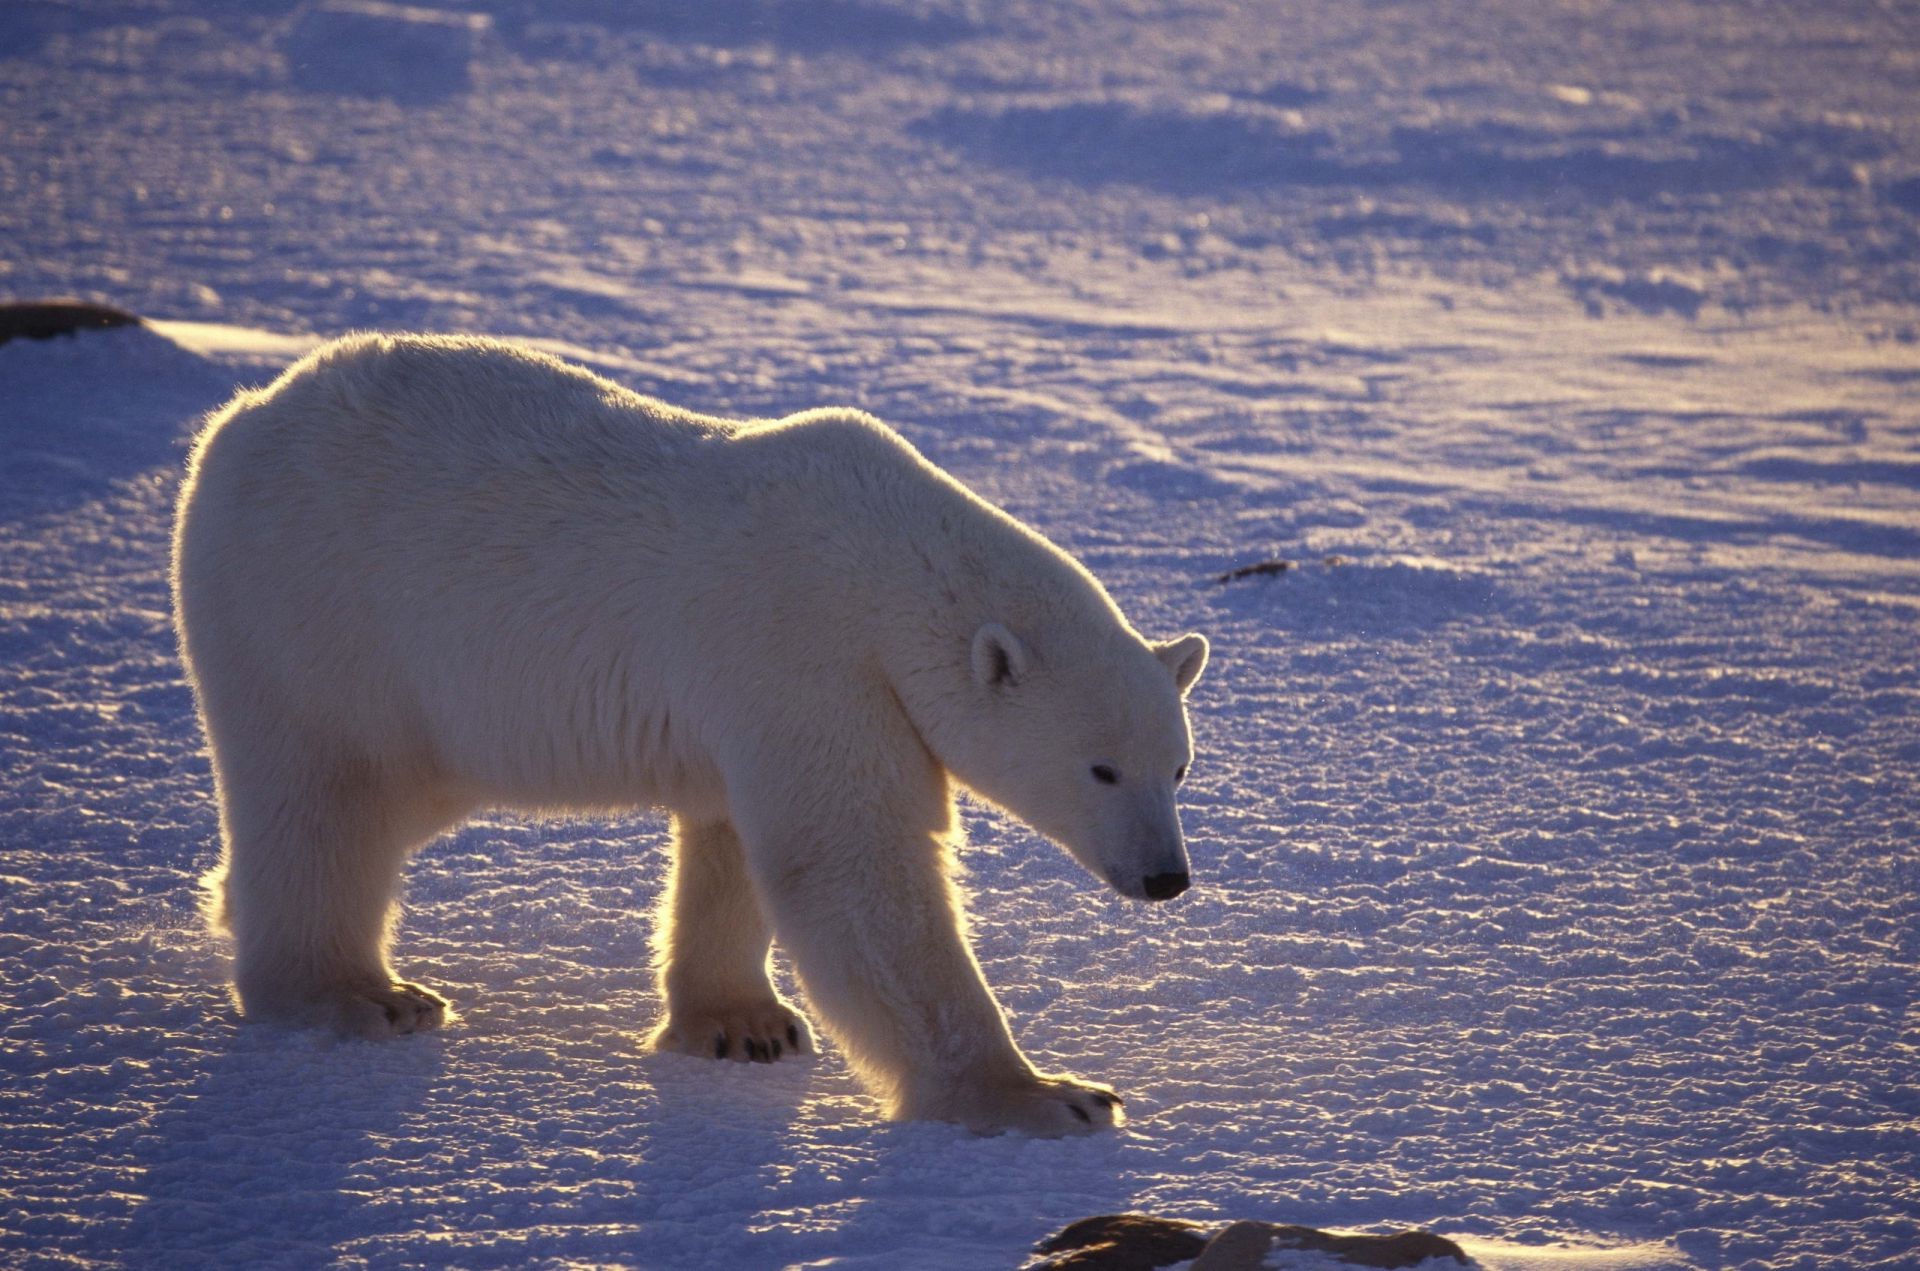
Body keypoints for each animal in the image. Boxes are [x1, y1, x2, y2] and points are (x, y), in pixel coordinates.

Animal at [172, 334, 1205, 1136]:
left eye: (1180, 768)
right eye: (1102, 768)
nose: (1167, 878)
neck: (888, 566)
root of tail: (236, 423)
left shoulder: (760, 699)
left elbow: (737, 844)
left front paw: (744, 1026)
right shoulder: (803, 649)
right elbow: (854, 863)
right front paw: (1052, 1095)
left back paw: (231, 901)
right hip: (321, 613)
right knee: (326, 802)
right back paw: (360, 993)